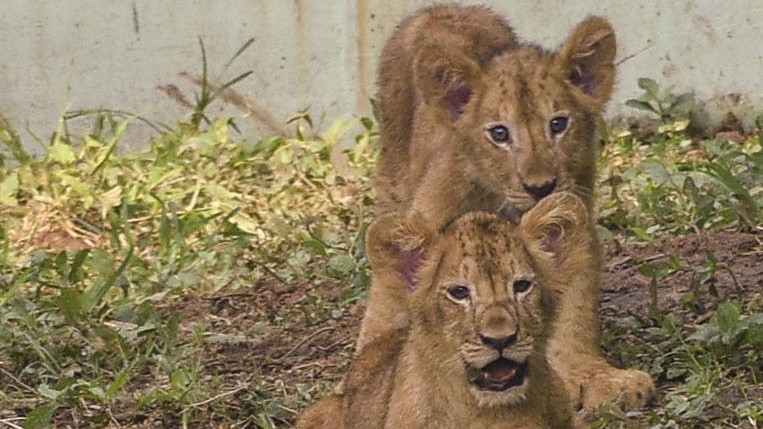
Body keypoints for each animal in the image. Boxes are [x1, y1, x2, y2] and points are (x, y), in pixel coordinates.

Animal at [360, 4, 655, 410]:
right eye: (499, 133)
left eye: (558, 124)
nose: (541, 186)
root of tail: (444, 8)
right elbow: (391, 305)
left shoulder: (571, 227)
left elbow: (574, 313)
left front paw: (595, 376)